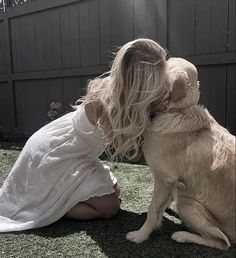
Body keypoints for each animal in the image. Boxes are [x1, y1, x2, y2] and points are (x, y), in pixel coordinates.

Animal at [126, 57, 235, 249]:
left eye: (162, 65)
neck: (176, 110)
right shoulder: (171, 182)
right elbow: (158, 206)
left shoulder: (165, 178)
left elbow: (152, 211)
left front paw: (140, 235)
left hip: (187, 203)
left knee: (222, 242)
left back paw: (182, 235)